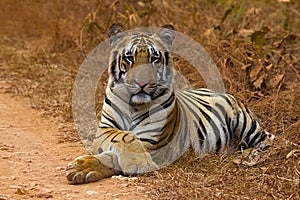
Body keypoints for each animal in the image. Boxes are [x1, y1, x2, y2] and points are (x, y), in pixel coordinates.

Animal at [65, 23, 274, 184]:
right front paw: (81, 167)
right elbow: (123, 137)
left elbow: (123, 146)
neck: (135, 105)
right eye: (130, 57)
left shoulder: (153, 142)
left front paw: (138, 164)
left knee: (267, 142)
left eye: (154, 58)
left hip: (244, 122)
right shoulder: (105, 129)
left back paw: (249, 156)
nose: (142, 83)